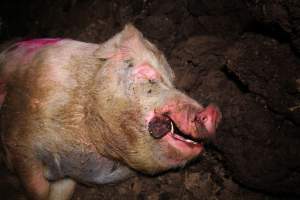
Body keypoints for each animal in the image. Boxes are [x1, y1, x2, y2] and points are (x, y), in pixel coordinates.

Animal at [0, 25, 220, 200]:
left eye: (172, 83)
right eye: (148, 76)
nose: (214, 110)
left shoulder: (68, 177)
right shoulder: (20, 143)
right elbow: (37, 190)